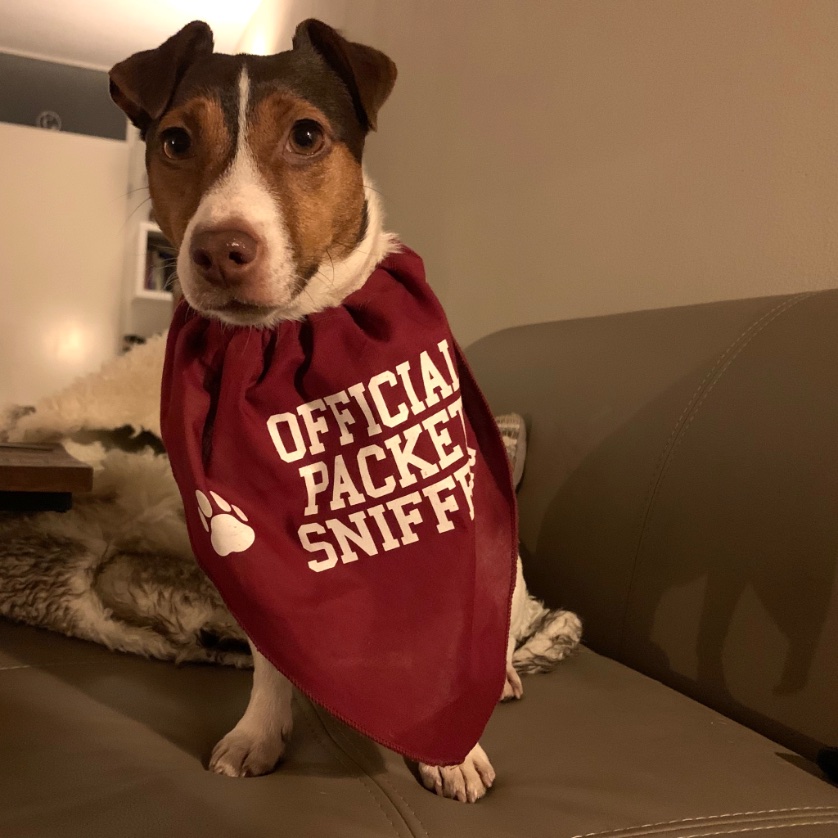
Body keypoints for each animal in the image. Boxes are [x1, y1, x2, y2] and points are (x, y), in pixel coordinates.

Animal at [109, 19, 581, 803]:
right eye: (174, 141)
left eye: (306, 135)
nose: (218, 251)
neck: (291, 335)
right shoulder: (261, 580)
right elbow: (272, 662)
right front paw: (260, 732)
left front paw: (452, 752)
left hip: (510, 573)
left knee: (506, 633)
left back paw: (508, 675)